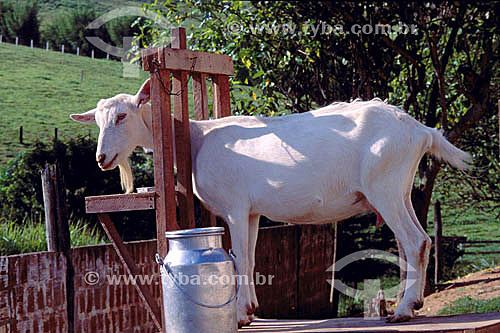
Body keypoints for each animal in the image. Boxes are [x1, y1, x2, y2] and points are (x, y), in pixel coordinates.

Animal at [70, 80, 468, 324]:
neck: (197, 139)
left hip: (384, 187)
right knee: (415, 242)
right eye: (97, 121)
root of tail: (421, 131)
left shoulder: (234, 206)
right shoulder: (252, 212)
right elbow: (249, 254)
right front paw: (250, 309)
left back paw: (403, 310)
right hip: (400, 190)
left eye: (123, 115)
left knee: (415, 241)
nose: (102, 158)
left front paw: (240, 315)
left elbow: (239, 256)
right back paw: (413, 302)